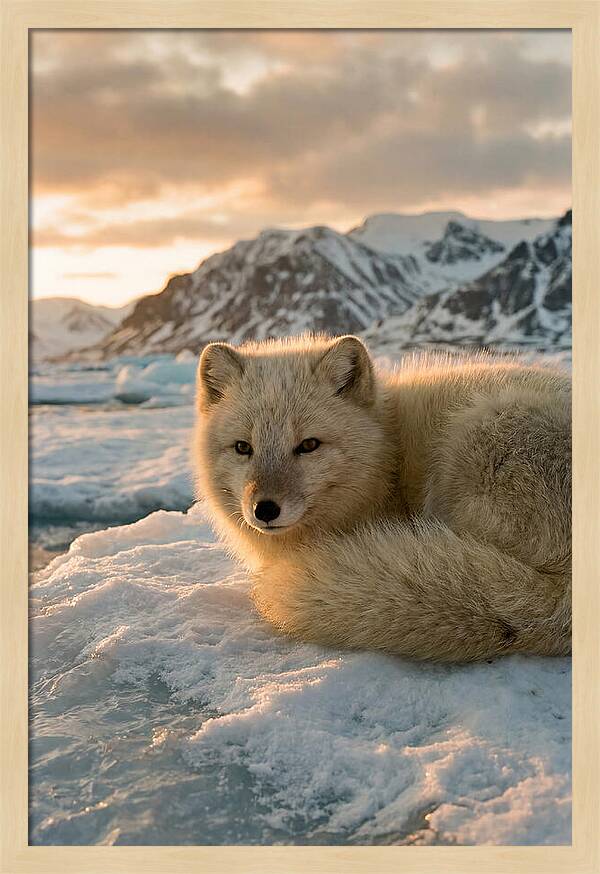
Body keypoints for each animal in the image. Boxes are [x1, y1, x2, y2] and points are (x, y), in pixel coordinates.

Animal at [192, 334, 571, 662]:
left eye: (309, 445)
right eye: (243, 447)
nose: (265, 509)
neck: (387, 455)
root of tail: (562, 598)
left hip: (474, 438)